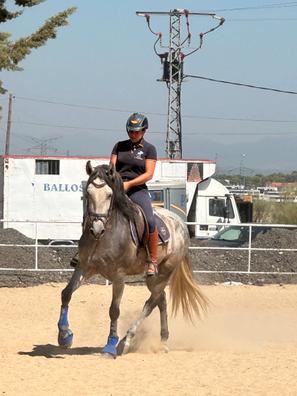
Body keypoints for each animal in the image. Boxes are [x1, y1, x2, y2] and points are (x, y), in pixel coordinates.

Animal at [56, 162, 207, 358]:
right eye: (88, 193)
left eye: (109, 195)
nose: (96, 228)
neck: (104, 237)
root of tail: (180, 224)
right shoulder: (83, 267)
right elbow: (66, 293)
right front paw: (64, 335)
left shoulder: (118, 277)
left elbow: (114, 310)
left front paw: (110, 346)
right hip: (154, 278)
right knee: (161, 300)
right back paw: (163, 342)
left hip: (164, 272)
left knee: (150, 303)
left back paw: (126, 340)